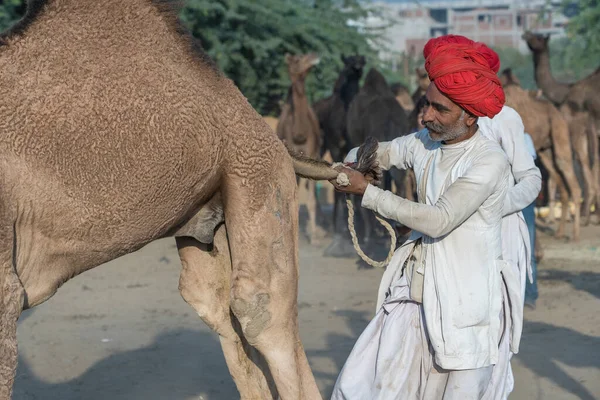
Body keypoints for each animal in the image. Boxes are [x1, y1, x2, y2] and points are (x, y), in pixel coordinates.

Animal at [500, 69, 584, 241]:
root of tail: (557, 112)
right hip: (546, 152)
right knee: (561, 185)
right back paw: (559, 233)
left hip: (560, 133)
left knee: (570, 180)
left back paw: (575, 234)